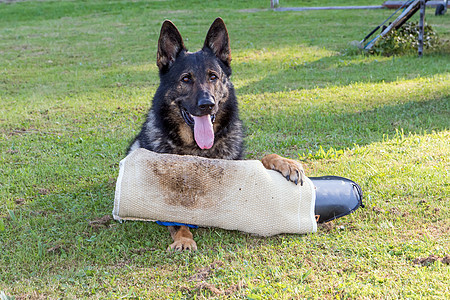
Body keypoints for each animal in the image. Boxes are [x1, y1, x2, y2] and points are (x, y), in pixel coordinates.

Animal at [128, 18, 304, 251]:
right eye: (186, 79)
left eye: (213, 76)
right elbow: (176, 217)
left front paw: (286, 163)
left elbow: (263, 157)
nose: (207, 104)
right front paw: (184, 238)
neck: (198, 149)